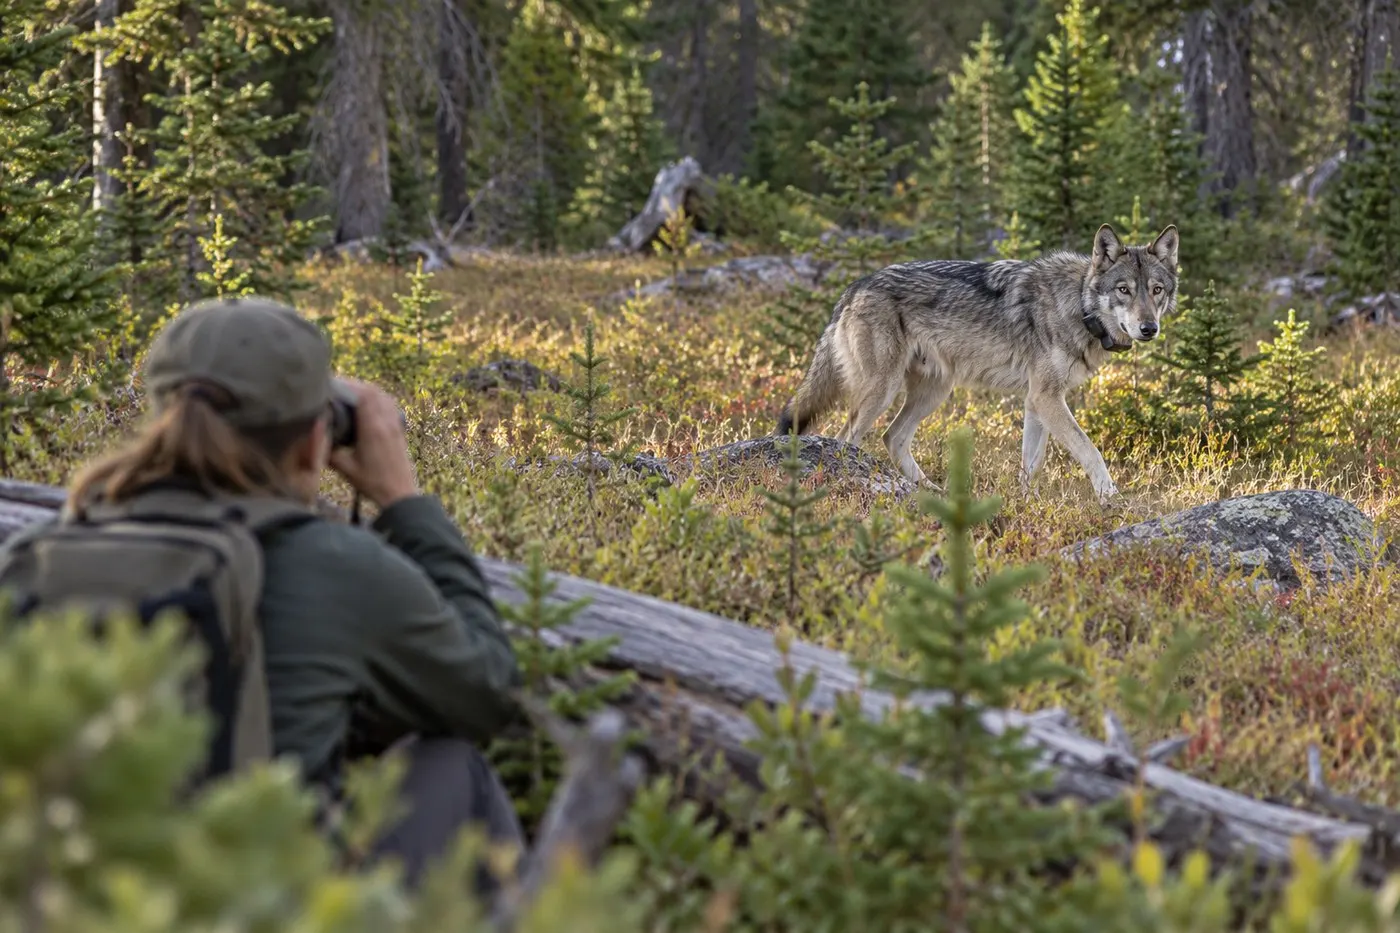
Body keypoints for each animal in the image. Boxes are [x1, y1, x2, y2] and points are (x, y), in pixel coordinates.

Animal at [774, 223, 1179, 502]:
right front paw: (1111, 500)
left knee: (892, 437)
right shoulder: (1048, 398)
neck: (1079, 307)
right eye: (1124, 290)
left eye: (1156, 291)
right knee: (845, 438)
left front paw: (1027, 505)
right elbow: (1091, 451)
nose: (1149, 328)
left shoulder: (1037, 401)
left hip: (933, 392)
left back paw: (932, 493)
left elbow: (1031, 465)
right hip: (882, 392)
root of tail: (854, 287)